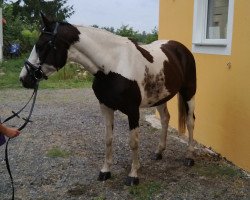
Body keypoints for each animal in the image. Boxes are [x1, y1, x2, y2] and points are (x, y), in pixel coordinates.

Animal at [18, 14, 196, 186]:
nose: (24, 79)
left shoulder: (133, 111)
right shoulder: (106, 107)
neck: (113, 65)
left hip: (189, 93)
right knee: (165, 119)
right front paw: (105, 171)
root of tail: (181, 48)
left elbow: (133, 142)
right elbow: (108, 139)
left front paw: (133, 175)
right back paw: (159, 152)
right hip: (160, 98)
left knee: (190, 121)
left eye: (41, 45)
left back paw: (189, 157)